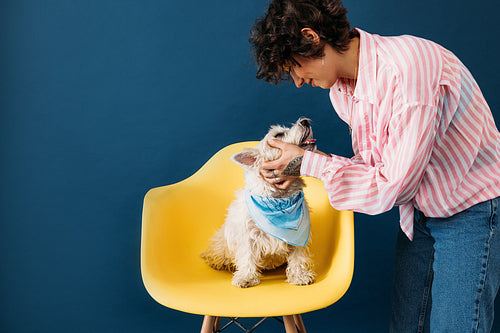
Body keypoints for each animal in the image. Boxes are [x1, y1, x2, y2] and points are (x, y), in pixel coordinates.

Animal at [202, 118, 316, 286]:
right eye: (278, 134)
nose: (305, 120)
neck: (279, 199)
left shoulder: (298, 238)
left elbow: (297, 257)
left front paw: (299, 276)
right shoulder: (247, 235)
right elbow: (247, 256)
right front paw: (246, 277)